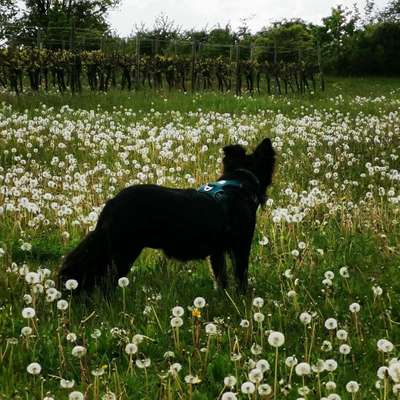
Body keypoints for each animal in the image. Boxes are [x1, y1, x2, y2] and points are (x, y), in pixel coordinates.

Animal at [58, 139, 276, 292]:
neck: (239, 184)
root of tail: (112, 203)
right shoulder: (241, 246)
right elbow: (241, 276)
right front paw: (242, 300)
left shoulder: (217, 251)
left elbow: (220, 277)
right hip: (124, 251)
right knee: (107, 282)